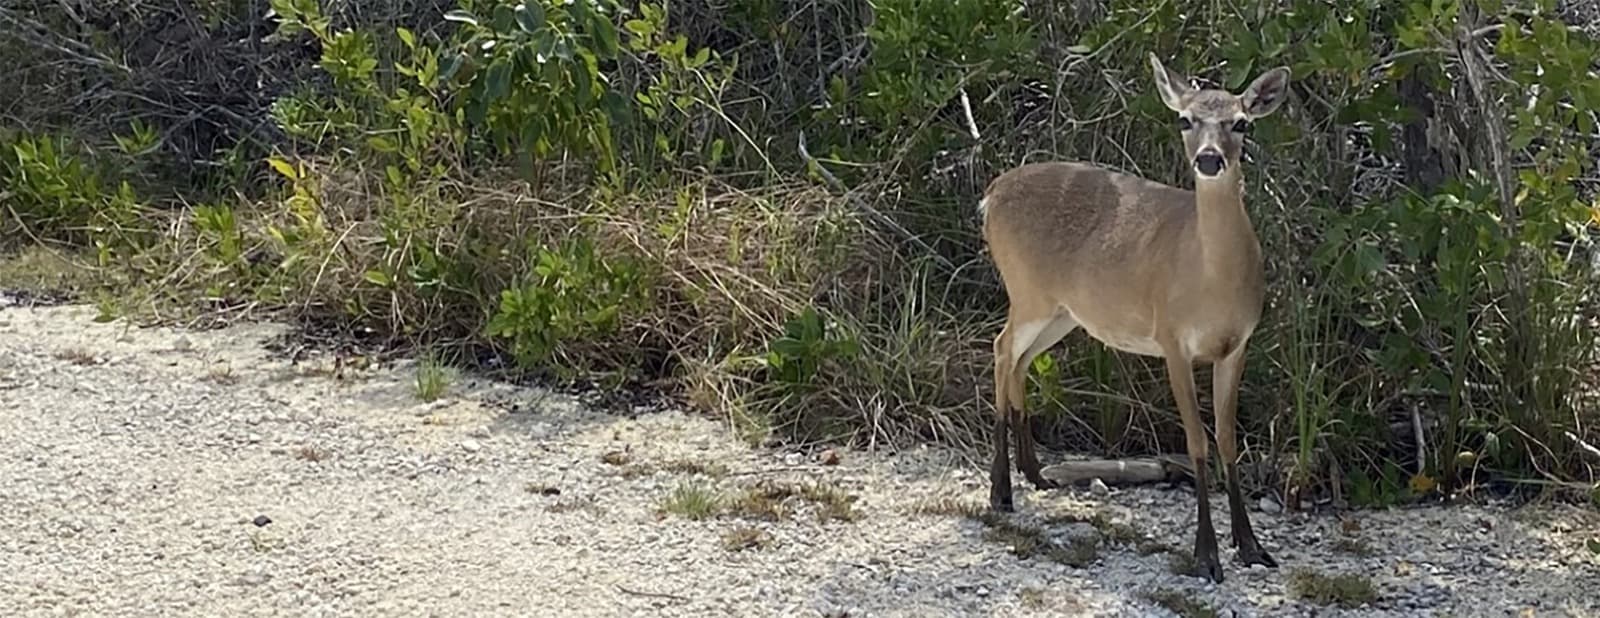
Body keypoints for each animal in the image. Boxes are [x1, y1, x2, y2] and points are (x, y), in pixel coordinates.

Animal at [976, 53, 1291, 583]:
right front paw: (1206, 555)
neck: (1211, 280)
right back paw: (1001, 492)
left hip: (1063, 310)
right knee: (1001, 348)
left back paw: (1035, 473)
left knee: (1018, 358)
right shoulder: (1172, 339)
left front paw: (1252, 547)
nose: (1210, 159)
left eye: (1241, 123)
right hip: (1026, 289)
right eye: (1185, 119)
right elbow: (1198, 441)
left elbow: (1228, 441)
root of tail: (991, 193)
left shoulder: (1237, 345)